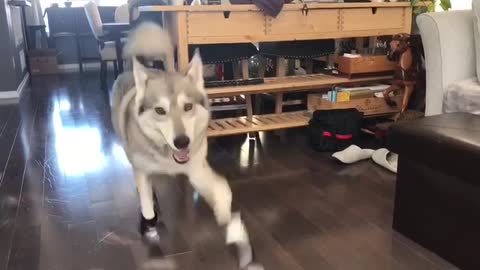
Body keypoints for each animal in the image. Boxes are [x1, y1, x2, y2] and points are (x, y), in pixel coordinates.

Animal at [111, 23, 258, 268]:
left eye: (188, 107)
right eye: (160, 111)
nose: (182, 142)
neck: (167, 157)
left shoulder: (196, 169)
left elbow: (222, 189)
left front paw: (227, 219)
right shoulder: (142, 170)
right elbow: (146, 202)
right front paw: (148, 222)